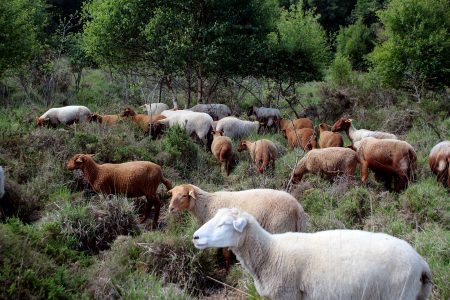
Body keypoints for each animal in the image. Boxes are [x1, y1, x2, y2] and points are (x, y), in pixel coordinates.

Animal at [193, 207, 432, 300]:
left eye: (224, 224)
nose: (195, 237)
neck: (270, 253)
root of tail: (421, 262)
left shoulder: (287, 294)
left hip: (397, 294)